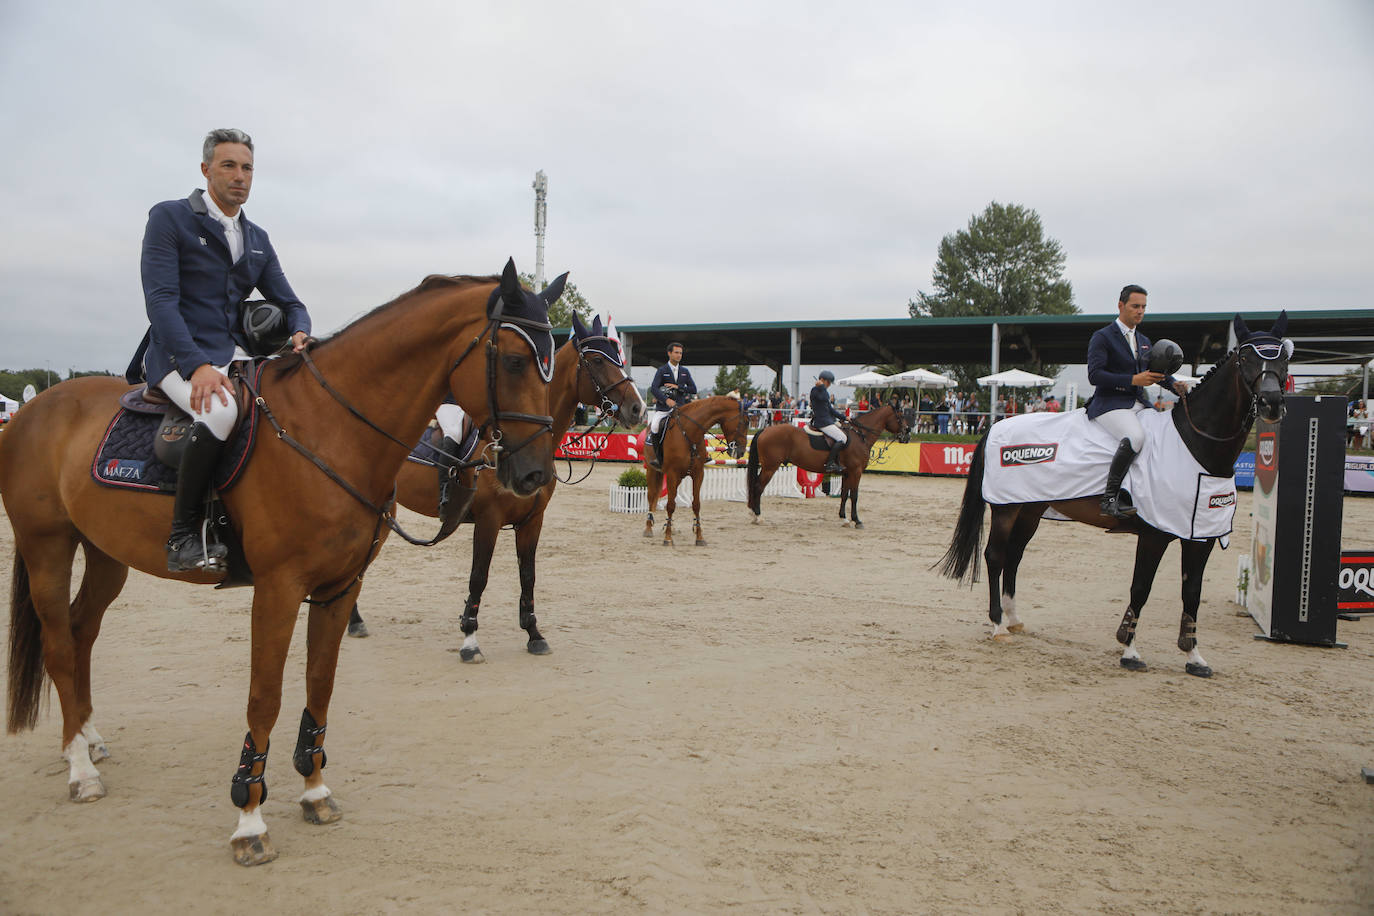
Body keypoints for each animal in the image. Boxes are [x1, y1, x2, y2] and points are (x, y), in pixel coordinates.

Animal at [2, 259, 560, 865]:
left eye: (555, 361)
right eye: (514, 360)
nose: (535, 474)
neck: (332, 430)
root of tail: (35, 409)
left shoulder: (340, 587)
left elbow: (320, 683)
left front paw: (314, 791)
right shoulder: (278, 588)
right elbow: (264, 698)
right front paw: (249, 818)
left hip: (106, 554)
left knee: (82, 632)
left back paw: (88, 740)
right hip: (46, 545)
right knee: (60, 645)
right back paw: (80, 769)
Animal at [349, 313, 645, 661]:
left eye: (619, 359)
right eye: (598, 360)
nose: (638, 409)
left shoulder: (532, 521)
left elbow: (528, 576)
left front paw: (534, 634)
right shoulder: (488, 520)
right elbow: (479, 577)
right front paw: (469, 638)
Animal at [643, 395, 749, 546]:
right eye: (746, 422)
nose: (740, 452)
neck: (690, 433)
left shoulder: (698, 474)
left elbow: (696, 505)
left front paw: (699, 537)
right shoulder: (672, 474)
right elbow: (670, 505)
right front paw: (668, 538)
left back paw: (670, 526)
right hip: (653, 470)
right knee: (652, 497)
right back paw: (648, 528)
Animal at [746, 402, 910, 529]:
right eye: (900, 416)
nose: (907, 434)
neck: (860, 435)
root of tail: (765, 430)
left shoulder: (847, 473)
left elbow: (844, 494)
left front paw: (844, 519)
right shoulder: (856, 472)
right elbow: (855, 495)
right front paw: (857, 521)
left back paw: (753, 514)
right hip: (770, 467)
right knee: (758, 487)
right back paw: (758, 516)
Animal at [937, 314, 1291, 677]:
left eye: (1285, 357)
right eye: (1245, 358)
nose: (1272, 404)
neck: (1196, 445)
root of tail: (996, 427)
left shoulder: (1200, 535)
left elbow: (1192, 591)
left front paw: (1194, 657)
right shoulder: (1154, 534)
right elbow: (1141, 587)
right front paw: (1129, 650)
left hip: (1031, 510)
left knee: (1015, 556)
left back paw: (1014, 619)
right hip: (1007, 508)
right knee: (995, 556)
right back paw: (997, 625)